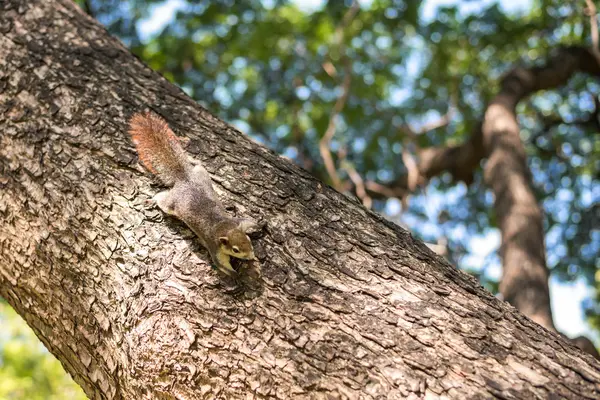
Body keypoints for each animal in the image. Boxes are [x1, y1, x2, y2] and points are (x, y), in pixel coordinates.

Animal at [127, 111, 256, 276]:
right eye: (235, 250)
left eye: (248, 239)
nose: (250, 256)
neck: (223, 227)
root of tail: (184, 178)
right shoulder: (214, 246)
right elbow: (221, 265)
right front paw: (237, 275)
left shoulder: (236, 222)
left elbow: (249, 221)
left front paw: (259, 225)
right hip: (171, 203)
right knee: (163, 200)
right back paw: (154, 199)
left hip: (202, 175)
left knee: (198, 166)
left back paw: (193, 160)